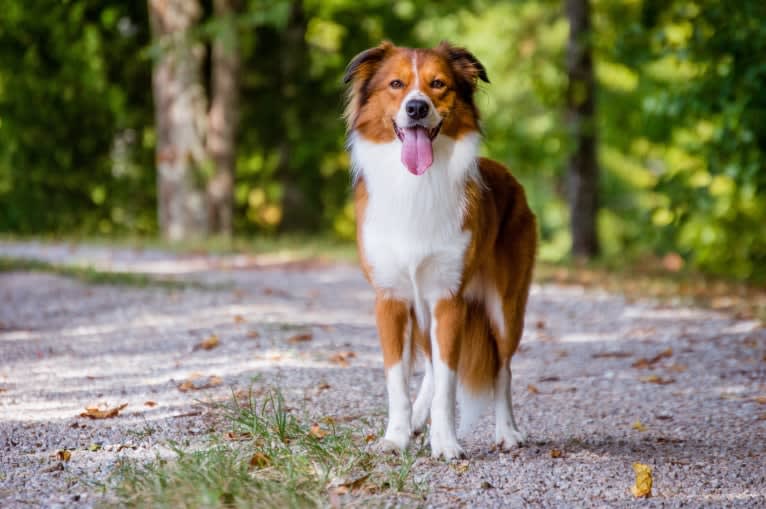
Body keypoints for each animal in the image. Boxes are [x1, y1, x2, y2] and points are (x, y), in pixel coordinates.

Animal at [344, 41, 536, 458]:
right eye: (396, 84)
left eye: (438, 84)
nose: (417, 108)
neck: (416, 183)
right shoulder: (392, 300)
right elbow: (398, 381)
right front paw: (396, 436)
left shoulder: (449, 299)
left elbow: (449, 383)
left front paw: (445, 443)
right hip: (422, 311)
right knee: (432, 366)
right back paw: (417, 421)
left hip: (505, 308)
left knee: (502, 369)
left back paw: (508, 432)